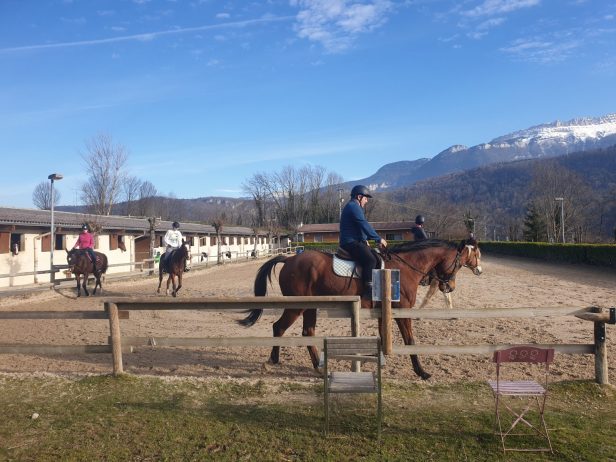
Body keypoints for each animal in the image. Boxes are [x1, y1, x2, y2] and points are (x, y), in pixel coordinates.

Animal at [239, 238, 482, 378]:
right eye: (459, 264)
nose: (449, 286)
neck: (404, 268)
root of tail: (289, 260)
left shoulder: (384, 311)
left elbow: (383, 337)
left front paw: (378, 360)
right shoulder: (401, 312)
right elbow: (410, 340)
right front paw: (421, 371)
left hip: (311, 307)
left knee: (307, 332)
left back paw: (318, 367)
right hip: (297, 307)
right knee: (279, 328)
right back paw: (273, 361)